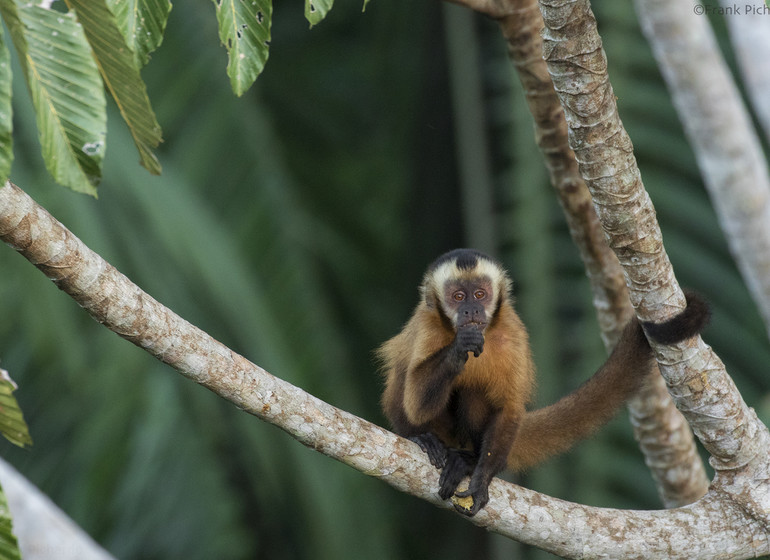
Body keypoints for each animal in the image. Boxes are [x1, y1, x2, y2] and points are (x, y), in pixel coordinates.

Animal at [378, 249, 708, 516]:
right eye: (458, 297)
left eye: (480, 294)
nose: (471, 310)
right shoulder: (428, 325)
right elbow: (415, 401)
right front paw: (461, 345)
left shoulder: (512, 331)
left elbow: (509, 408)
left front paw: (480, 479)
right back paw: (422, 438)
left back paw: (468, 461)